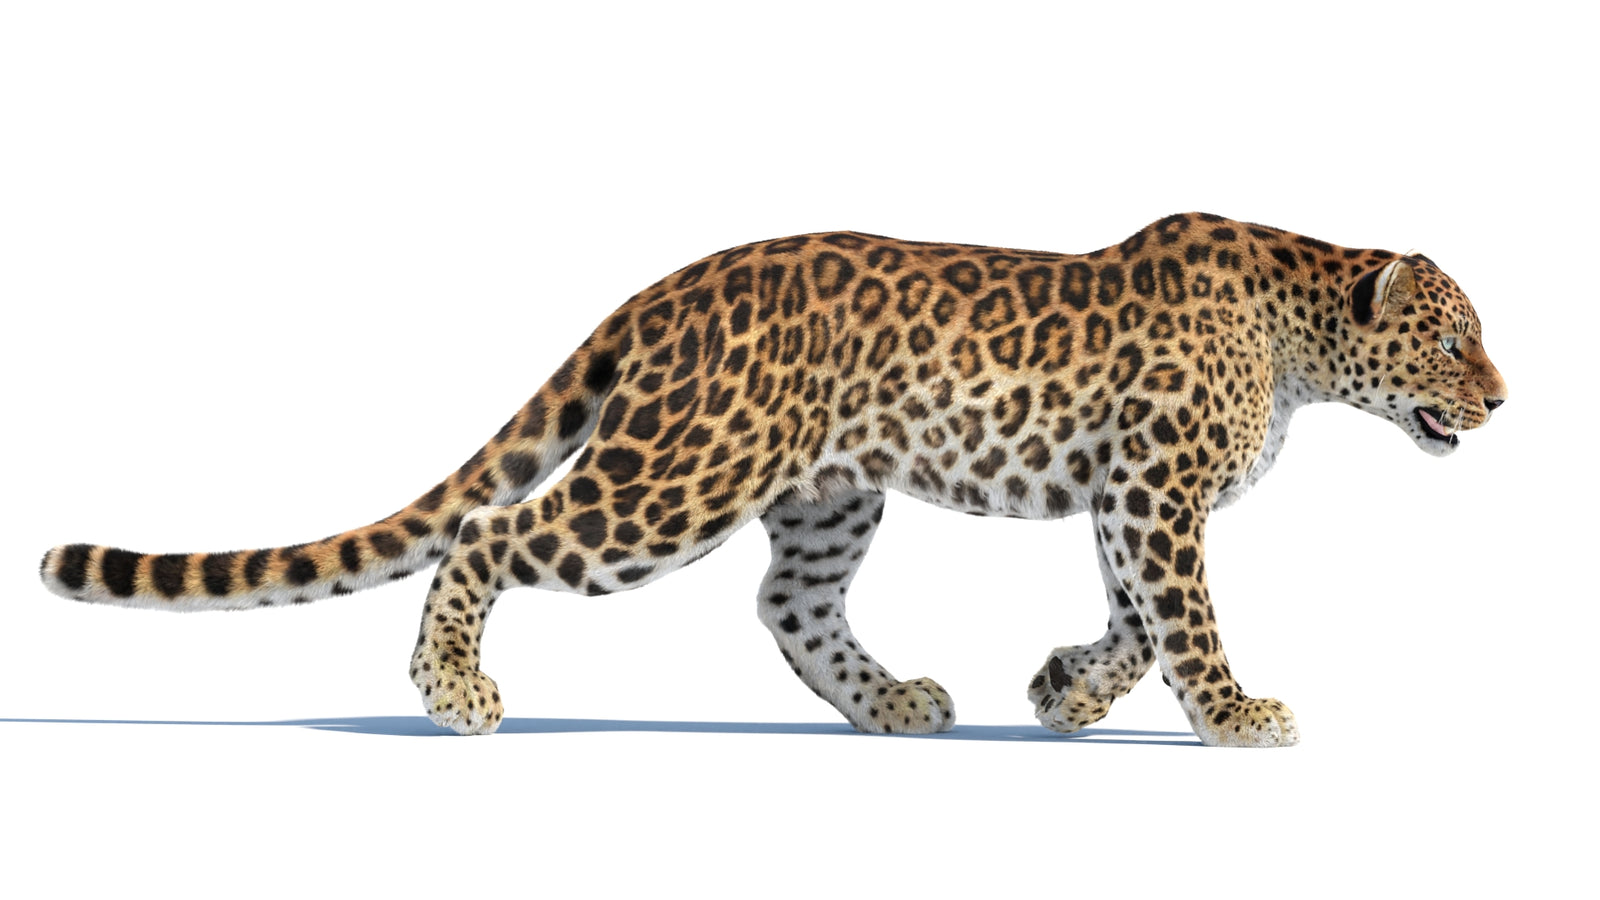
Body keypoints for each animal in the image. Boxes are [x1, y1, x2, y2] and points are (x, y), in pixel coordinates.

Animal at [39, 213, 1507, 747]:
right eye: (1452, 340)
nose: (1503, 399)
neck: (1303, 337)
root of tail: (667, 287)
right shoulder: (1153, 493)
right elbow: (1184, 625)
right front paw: (1240, 716)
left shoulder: (1123, 497)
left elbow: (1137, 626)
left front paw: (1062, 693)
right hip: (672, 482)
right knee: (493, 534)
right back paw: (452, 690)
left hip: (827, 493)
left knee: (788, 608)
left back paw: (897, 703)